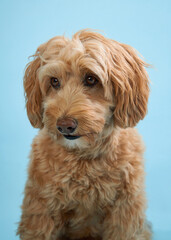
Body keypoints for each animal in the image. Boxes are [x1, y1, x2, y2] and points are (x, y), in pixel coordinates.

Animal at [17, 29, 151, 239]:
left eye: (91, 79)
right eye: (54, 81)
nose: (64, 126)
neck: (84, 158)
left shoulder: (125, 212)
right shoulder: (40, 209)